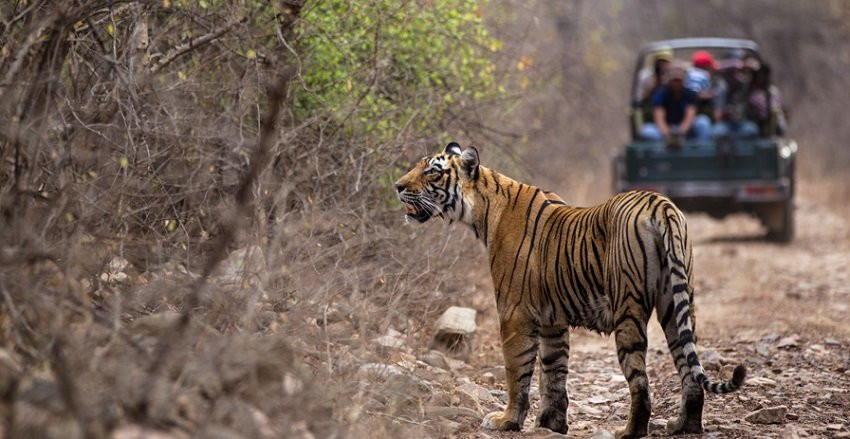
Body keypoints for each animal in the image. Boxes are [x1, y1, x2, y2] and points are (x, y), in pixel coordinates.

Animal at [392, 143, 744, 438]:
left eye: (432, 171)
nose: (397, 186)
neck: (483, 211)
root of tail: (660, 205)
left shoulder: (514, 314)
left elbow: (517, 372)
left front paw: (507, 421)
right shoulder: (552, 321)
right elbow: (553, 372)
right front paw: (551, 424)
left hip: (628, 310)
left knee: (640, 381)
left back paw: (629, 431)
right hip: (676, 305)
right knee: (688, 370)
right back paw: (684, 426)